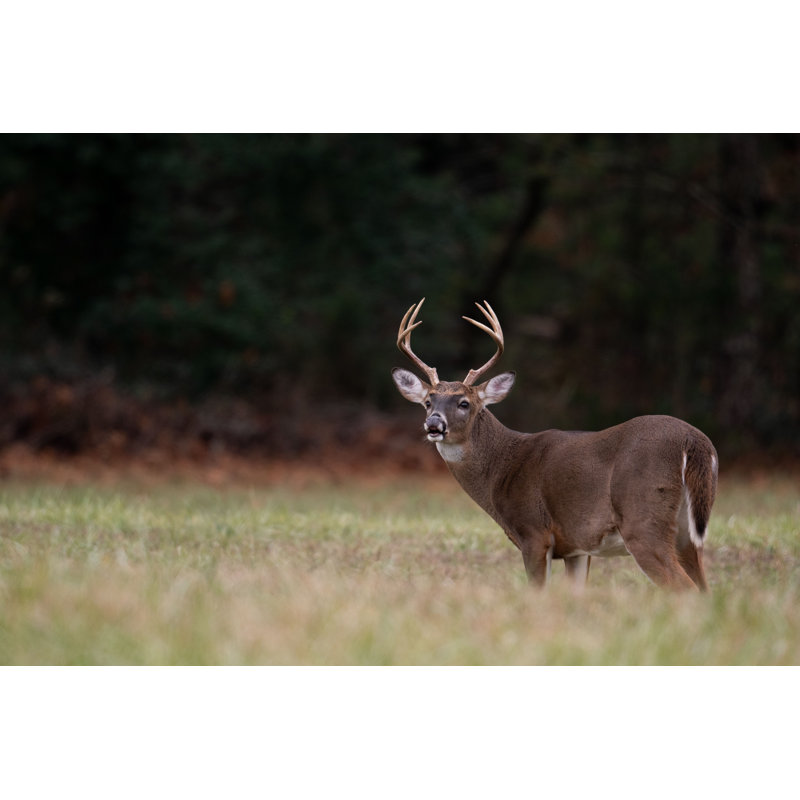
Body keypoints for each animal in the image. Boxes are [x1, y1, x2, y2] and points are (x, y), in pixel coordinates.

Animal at [392, 298, 718, 590]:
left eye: (464, 403)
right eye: (428, 401)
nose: (434, 424)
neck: (501, 469)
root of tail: (695, 442)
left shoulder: (534, 532)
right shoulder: (577, 547)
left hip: (644, 520)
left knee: (684, 589)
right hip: (687, 533)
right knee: (705, 589)